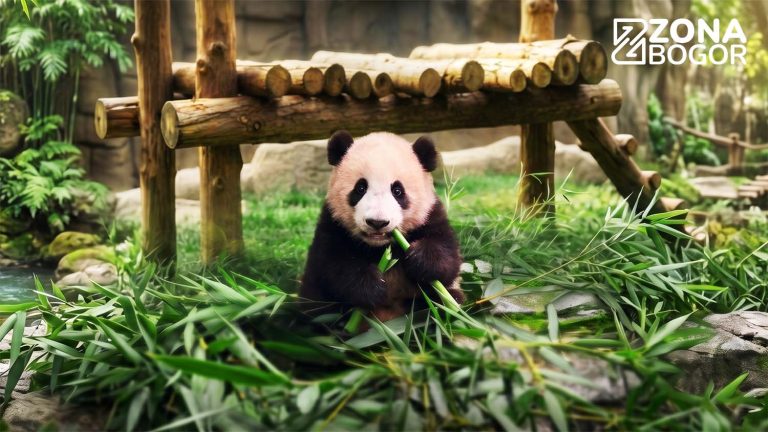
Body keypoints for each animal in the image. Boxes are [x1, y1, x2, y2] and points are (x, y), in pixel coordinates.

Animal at [300, 130, 464, 322]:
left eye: (398, 191)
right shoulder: (333, 222)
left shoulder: (430, 215)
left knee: (444, 301)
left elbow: (447, 256)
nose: (377, 222)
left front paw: (421, 259)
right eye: (360, 188)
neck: (379, 246)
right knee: (318, 312)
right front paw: (372, 287)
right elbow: (332, 263)